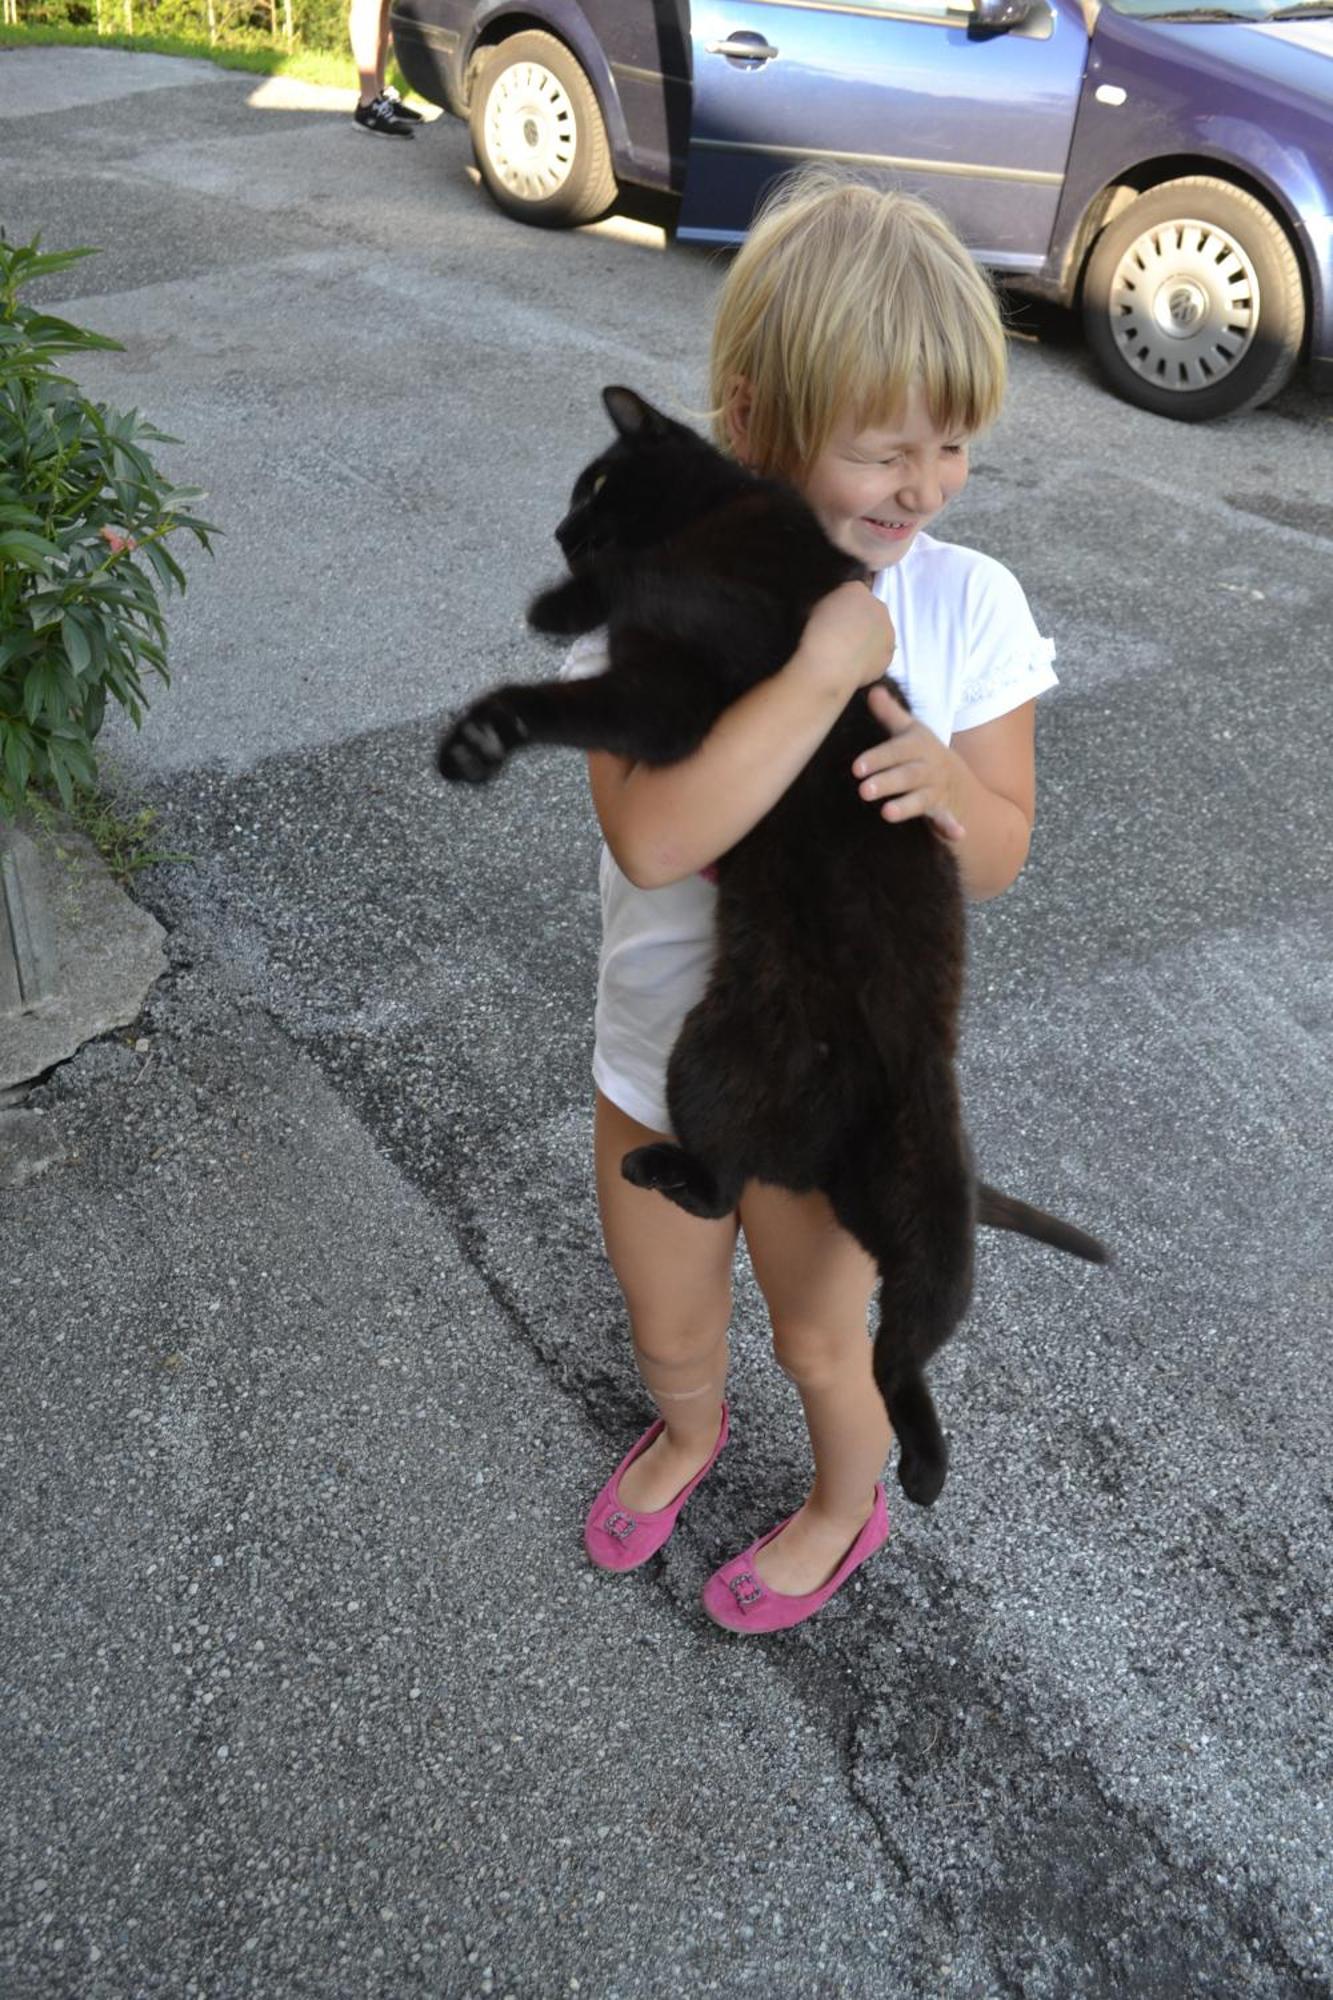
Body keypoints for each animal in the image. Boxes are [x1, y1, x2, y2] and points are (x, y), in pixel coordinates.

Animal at [436, 382, 1096, 1504]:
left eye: (596, 483)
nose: (561, 531)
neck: (721, 513)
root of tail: (815, 1153)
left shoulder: (740, 636)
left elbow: (654, 583)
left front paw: (562, 603)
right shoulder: (663, 702)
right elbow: (578, 690)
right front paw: (485, 730)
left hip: (922, 1205)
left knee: (897, 1352)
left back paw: (923, 1467)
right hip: (710, 1059)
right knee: (724, 1191)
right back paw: (666, 1173)